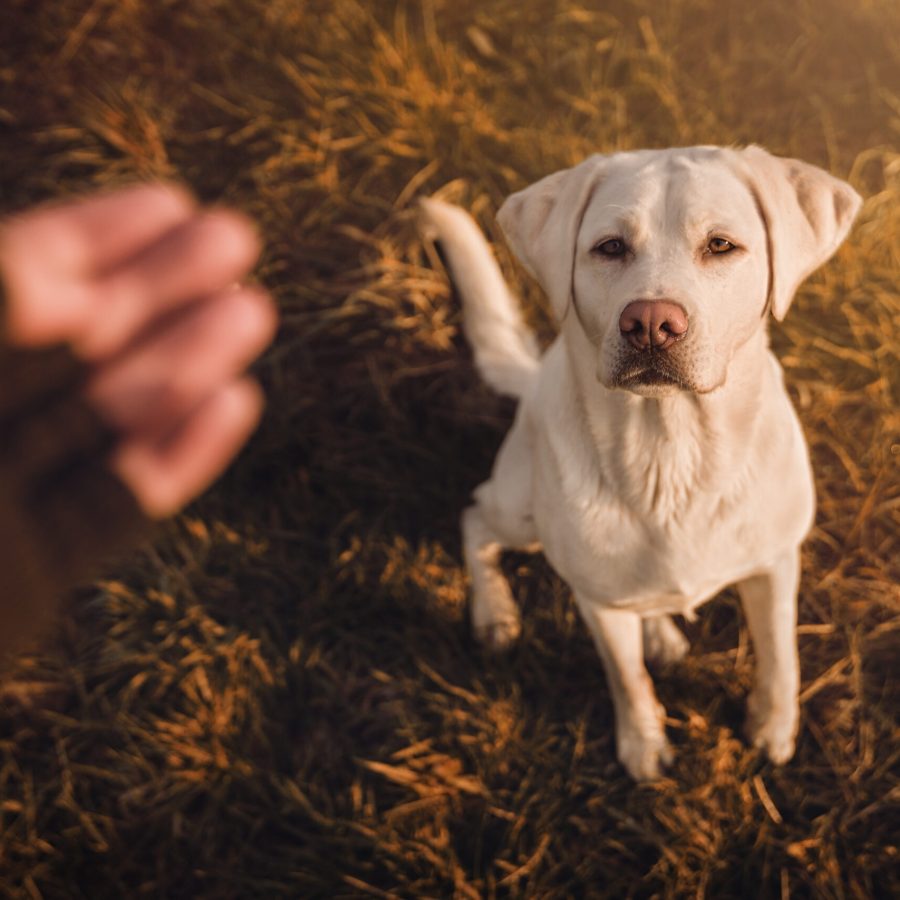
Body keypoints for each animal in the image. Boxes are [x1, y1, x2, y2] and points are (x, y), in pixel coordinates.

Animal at [418, 148, 860, 780]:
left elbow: (781, 654)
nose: (651, 322)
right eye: (609, 247)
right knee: (474, 517)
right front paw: (643, 746)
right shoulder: (598, 604)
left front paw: (774, 728)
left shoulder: (775, 564)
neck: (671, 452)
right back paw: (494, 613)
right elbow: (626, 678)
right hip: (520, 511)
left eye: (721, 245)